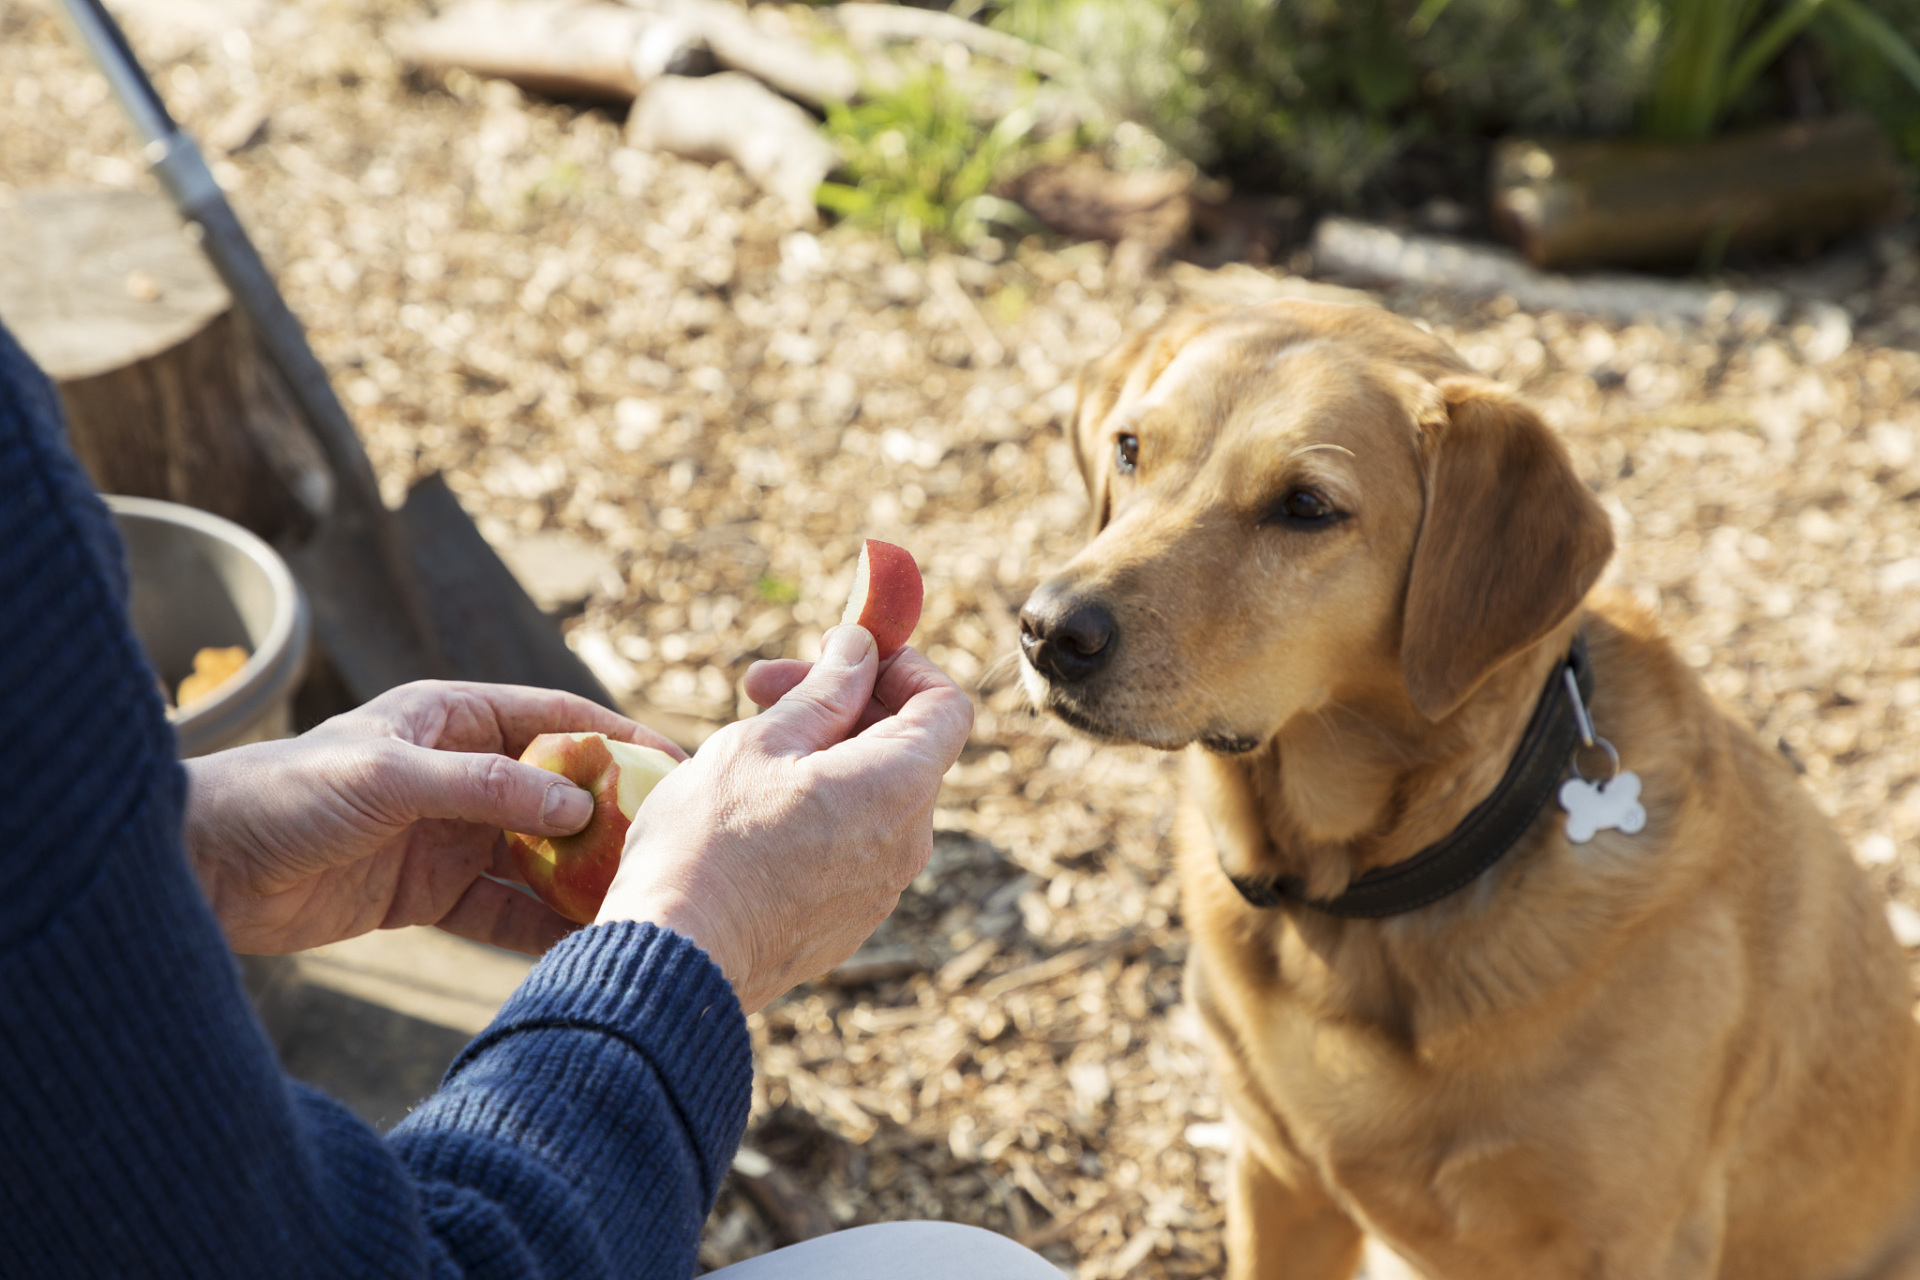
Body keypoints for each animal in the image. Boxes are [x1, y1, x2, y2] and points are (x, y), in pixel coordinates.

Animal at [1021, 303, 1920, 1280]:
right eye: (1130, 448)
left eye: (1306, 507)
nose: (1048, 631)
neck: (1360, 905)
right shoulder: (1277, 1175)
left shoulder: (1636, 1242)